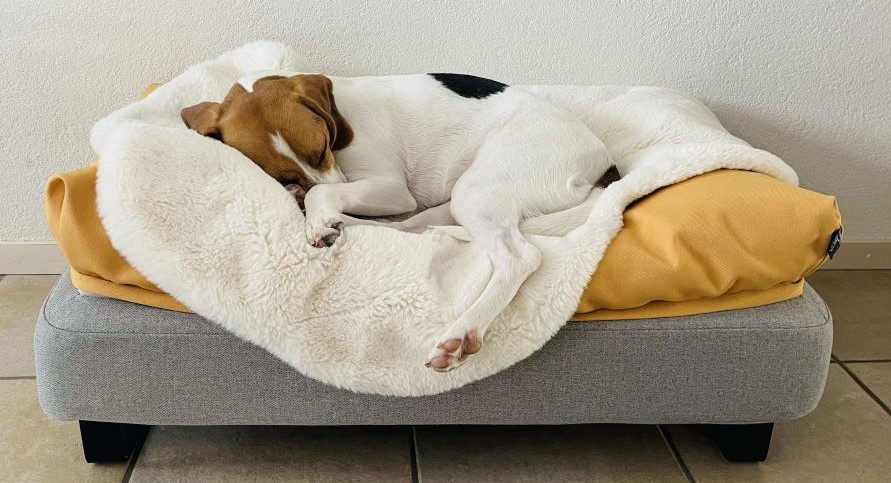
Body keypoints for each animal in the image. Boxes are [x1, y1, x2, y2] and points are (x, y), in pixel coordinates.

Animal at [181, 70, 612, 372]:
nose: (300, 188)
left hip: (478, 191)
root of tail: (602, 165)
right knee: (410, 228)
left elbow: (325, 193)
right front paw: (315, 210)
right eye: (281, 174)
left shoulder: (391, 189)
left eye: (322, 148)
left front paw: (319, 217)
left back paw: (462, 333)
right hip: (453, 202)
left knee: (519, 258)